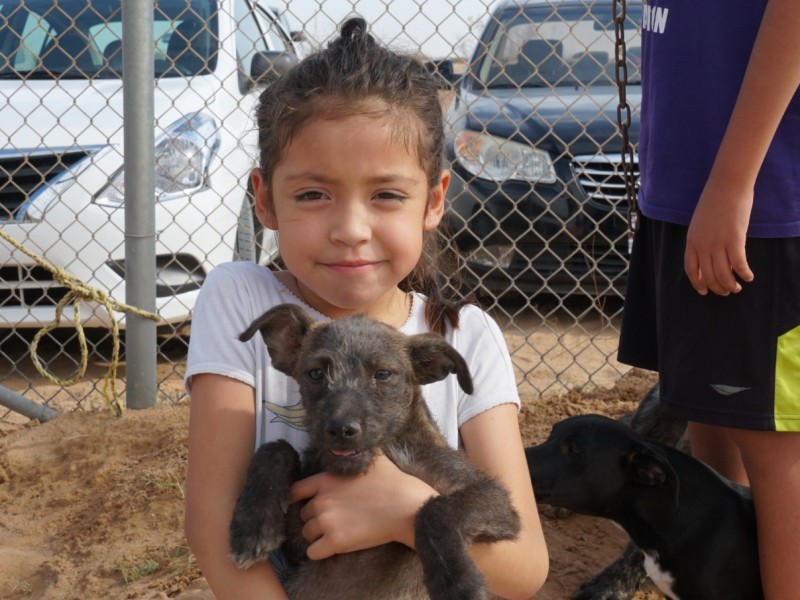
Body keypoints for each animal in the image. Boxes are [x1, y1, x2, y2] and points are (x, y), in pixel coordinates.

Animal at [228, 304, 520, 600]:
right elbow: (277, 448)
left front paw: (458, 583)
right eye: (316, 374)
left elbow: (438, 509)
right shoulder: (302, 548)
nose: (341, 429)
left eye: (383, 374)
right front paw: (253, 525)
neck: (389, 449)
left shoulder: (494, 500)